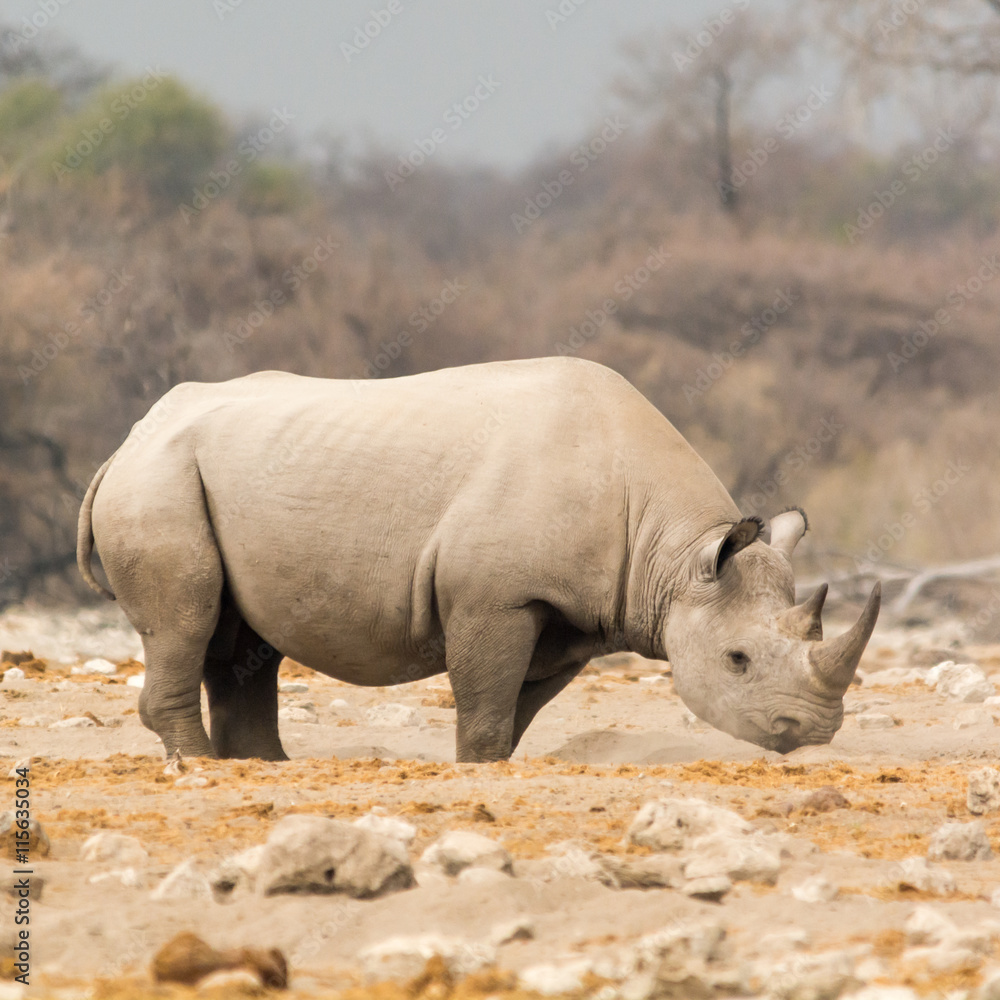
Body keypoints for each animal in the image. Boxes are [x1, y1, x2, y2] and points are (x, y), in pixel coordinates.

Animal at [77, 357, 880, 762]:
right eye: (738, 660)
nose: (813, 732)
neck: (673, 551)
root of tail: (128, 438)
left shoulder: (571, 616)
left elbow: (510, 714)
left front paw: (489, 768)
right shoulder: (494, 596)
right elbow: (486, 702)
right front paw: (477, 771)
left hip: (207, 473)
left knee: (241, 640)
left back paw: (262, 768)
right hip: (158, 481)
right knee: (187, 619)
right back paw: (204, 768)